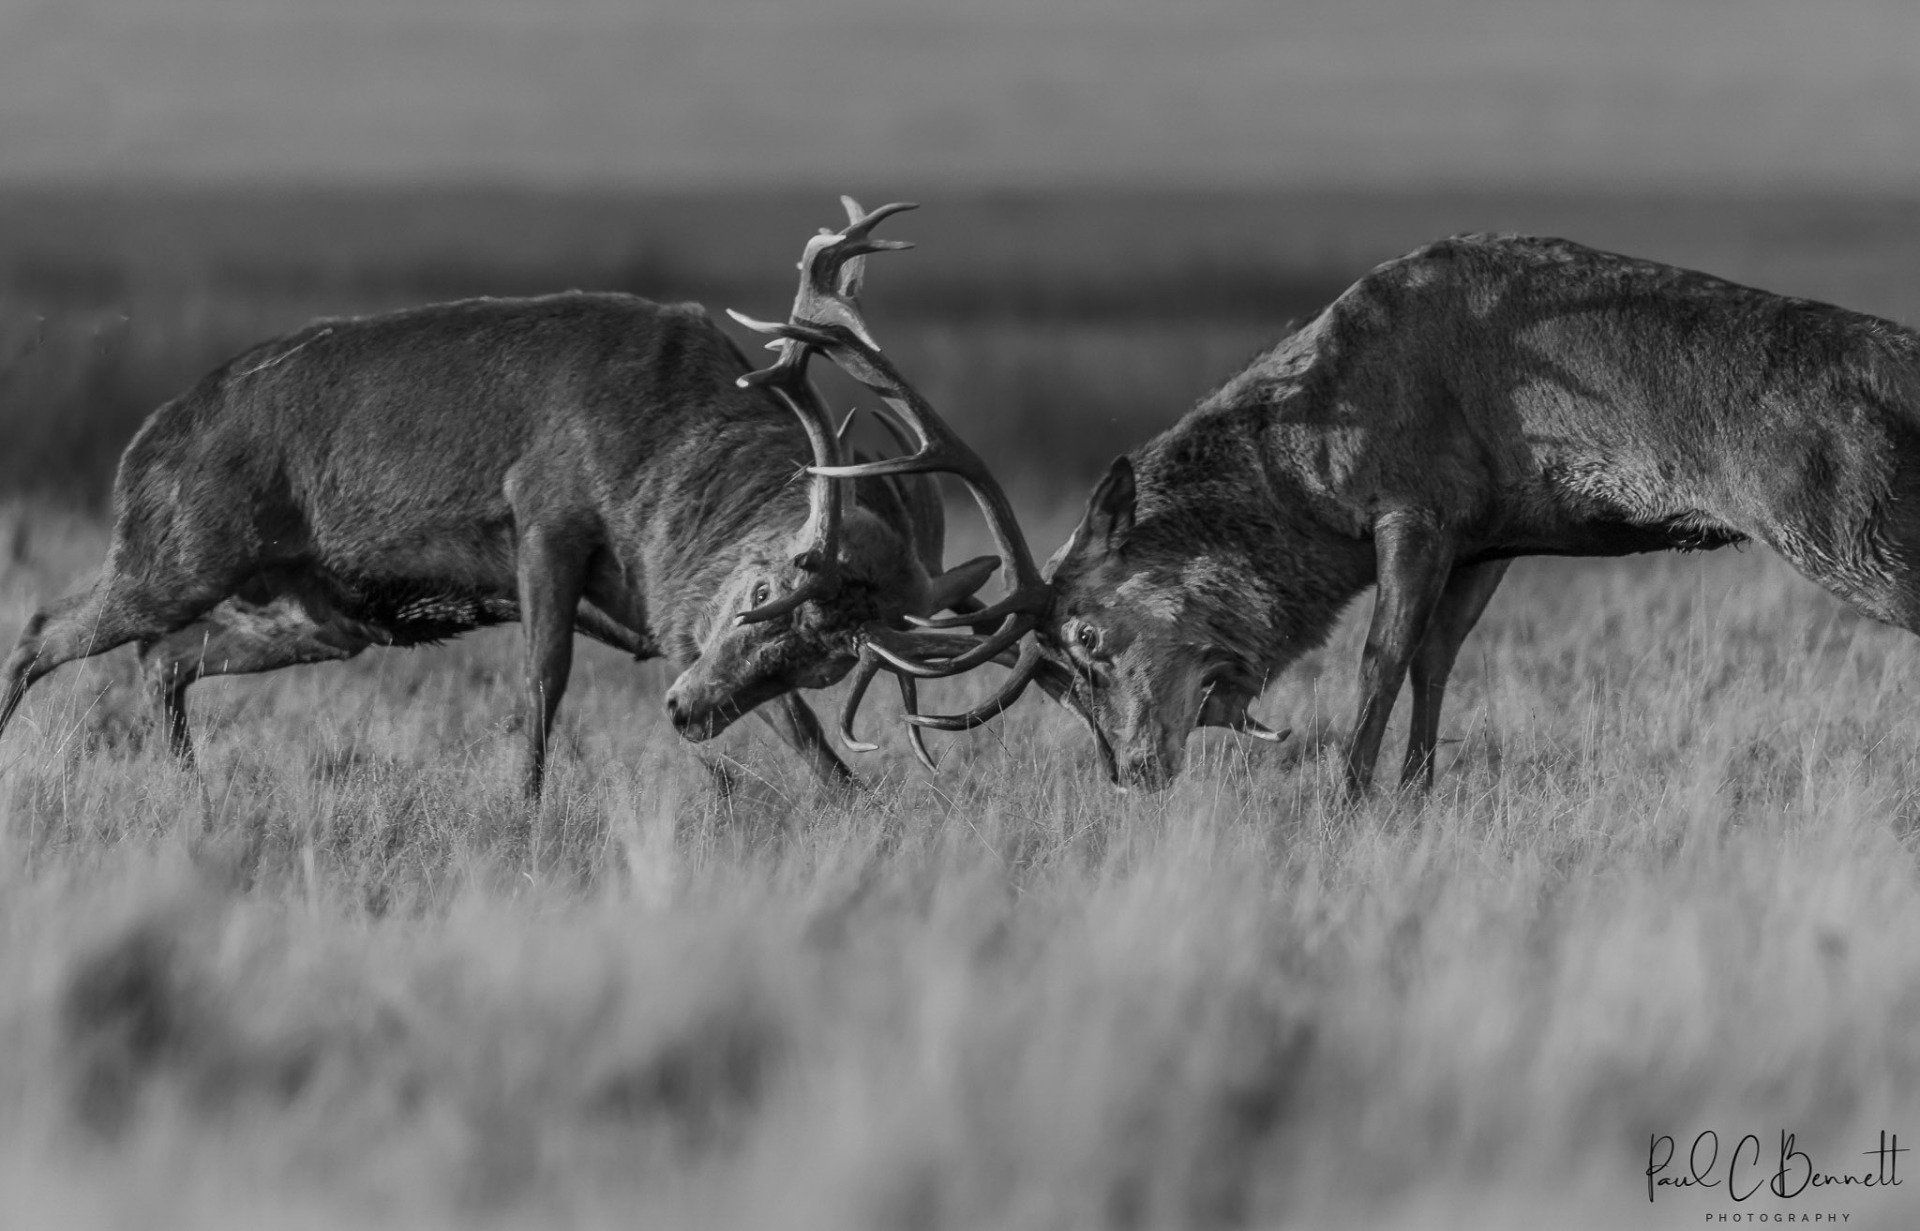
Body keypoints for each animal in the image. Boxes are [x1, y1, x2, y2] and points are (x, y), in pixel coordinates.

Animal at [0, 199, 1021, 796]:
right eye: (767, 589)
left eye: (826, 660)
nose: (684, 713)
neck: (656, 468)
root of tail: (145, 437)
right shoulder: (544, 511)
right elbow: (542, 679)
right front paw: (521, 809)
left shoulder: (675, 624)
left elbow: (803, 738)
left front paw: (860, 808)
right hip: (178, 548)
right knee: (46, 625)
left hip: (315, 612)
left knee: (162, 659)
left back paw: (191, 788)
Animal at [800, 232, 1920, 797]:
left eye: (1088, 637)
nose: (1132, 773)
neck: (1308, 463)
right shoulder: (1490, 534)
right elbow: (1436, 661)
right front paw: (1416, 791)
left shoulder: (1414, 509)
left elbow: (1379, 659)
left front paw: (1348, 796)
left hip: (1848, 524)